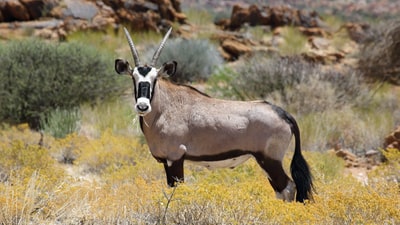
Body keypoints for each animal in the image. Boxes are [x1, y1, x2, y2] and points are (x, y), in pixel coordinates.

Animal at [114, 27, 314, 201]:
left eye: (155, 79)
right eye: (134, 78)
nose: (142, 106)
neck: (164, 108)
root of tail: (283, 113)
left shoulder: (175, 158)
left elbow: (178, 191)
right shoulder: (166, 161)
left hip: (270, 160)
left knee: (288, 187)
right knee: (282, 190)